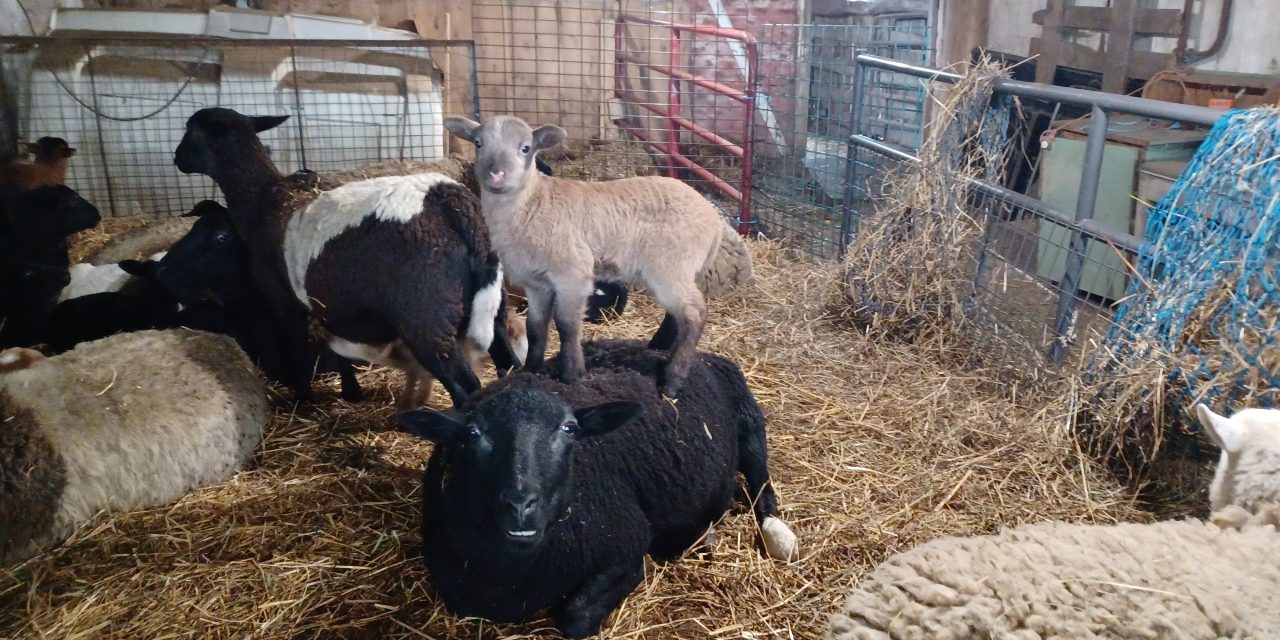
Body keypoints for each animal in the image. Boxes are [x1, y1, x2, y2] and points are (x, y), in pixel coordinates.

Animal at [174, 107, 520, 405]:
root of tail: (450, 200)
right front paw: (351, 391)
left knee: (465, 385)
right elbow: (336, 344)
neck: (262, 198)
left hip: (426, 318)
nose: (176, 158)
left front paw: (304, 398)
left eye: (190, 131)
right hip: (492, 307)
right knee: (512, 363)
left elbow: (298, 348)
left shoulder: (284, 300)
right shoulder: (331, 303)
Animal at [396, 339, 799, 638]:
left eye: (570, 429)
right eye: (472, 433)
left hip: (750, 421)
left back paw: (770, 531)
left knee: (763, 484)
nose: (521, 505)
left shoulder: (627, 549)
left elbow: (576, 617)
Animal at [443, 115, 723, 396]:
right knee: (678, 315)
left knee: (694, 313)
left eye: (525, 148)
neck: (532, 204)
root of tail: (712, 217)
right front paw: (531, 370)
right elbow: (536, 327)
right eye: (478, 143)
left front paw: (572, 374)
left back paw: (671, 380)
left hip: (669, 264)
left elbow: (567, 325)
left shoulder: (572, 273)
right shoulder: (535, 283)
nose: (496, 173)